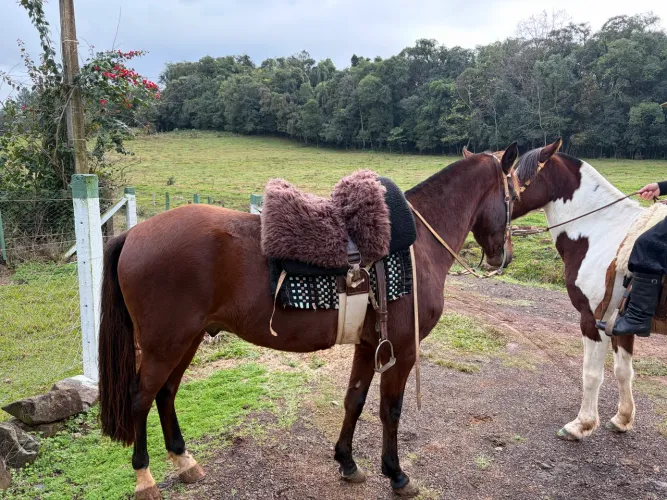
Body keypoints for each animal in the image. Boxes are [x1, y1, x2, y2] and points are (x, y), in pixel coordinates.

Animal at [98, 143, 519, 499]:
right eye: (512, 196)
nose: (504, 257)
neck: (417, 244)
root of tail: (134, 233)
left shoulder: (368, 345)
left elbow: (354, 400)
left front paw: (347, 463)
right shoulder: (401, 350)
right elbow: (390, 410)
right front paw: (396, 474)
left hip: (188, 338)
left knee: (166, 393)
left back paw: (185, 463)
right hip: (164, 344)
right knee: (140, 398)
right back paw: (145, 479)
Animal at [466, 139, 646, 440]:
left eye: (514, 180)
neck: (601, 233)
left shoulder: (593, 320)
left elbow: (591, 374)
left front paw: (582, 424)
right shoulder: (619, 322)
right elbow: (623, 371)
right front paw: (622, 419)